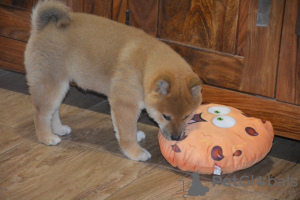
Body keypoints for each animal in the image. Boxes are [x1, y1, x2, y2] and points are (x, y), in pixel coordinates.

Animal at [24, 0, 203, 161]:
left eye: (187, 116)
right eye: (166, 116)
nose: (176, 137)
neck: (145, 66)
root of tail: (41, 27)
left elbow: (130, 127)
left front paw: (136, 136)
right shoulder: (125, 104)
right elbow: (127, 131)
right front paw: (135, 152)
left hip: (60, 86)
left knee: (53, 111)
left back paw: (58, 129)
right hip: (50, 84)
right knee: (41, 113)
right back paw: (46, 137)